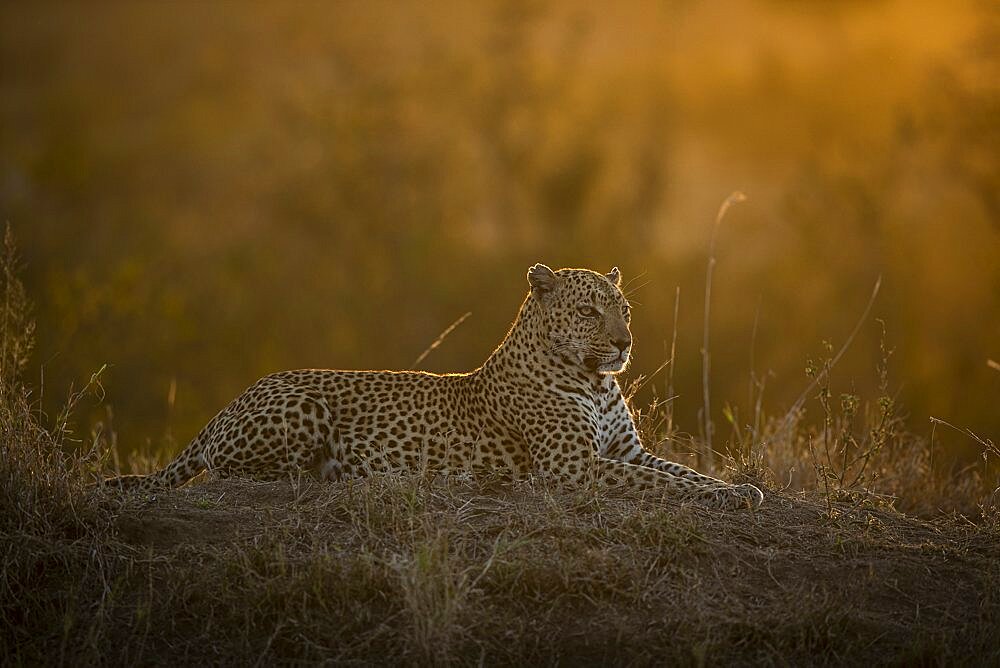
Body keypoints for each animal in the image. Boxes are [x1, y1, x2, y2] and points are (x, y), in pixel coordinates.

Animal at [105, 264, 764, 508]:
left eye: (623, 309)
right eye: (588, 312)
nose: (625, 345)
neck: (594, 380)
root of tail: (230, 402)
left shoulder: (625, 451)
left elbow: (679, 471)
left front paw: (740, 487)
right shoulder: (573, 466)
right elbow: (663, 484)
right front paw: (733, 497)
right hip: (302, 409)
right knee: (235, 472)